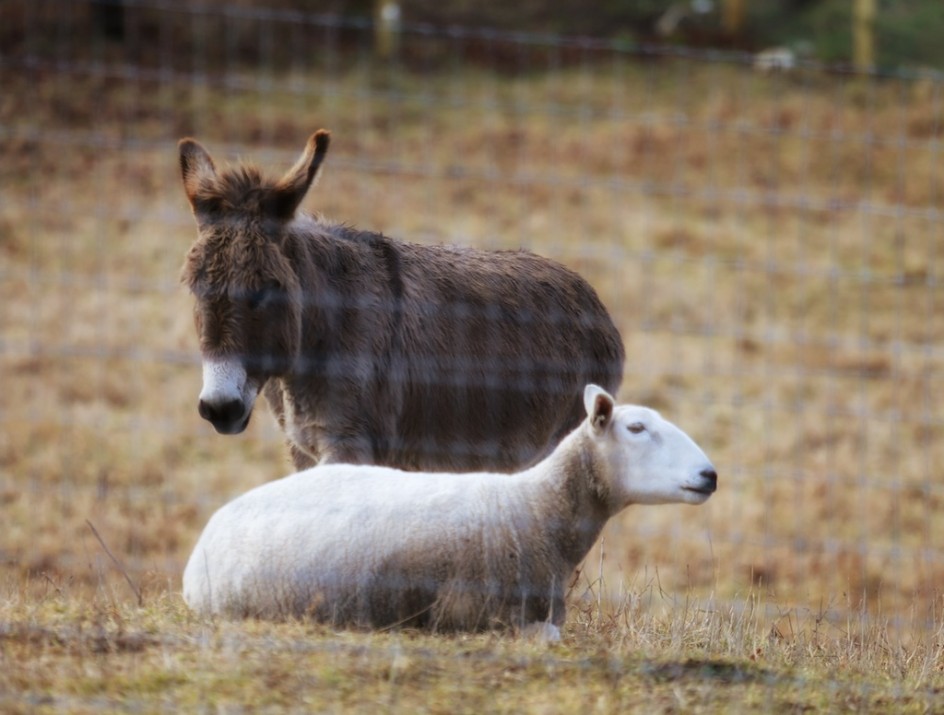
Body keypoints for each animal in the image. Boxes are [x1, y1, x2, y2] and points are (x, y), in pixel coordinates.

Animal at [183, 384, 716, 640]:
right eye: (637, 428)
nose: (709, 474)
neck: (532, 508)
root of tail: (207, 534)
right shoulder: (482, 615)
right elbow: (549, 636)